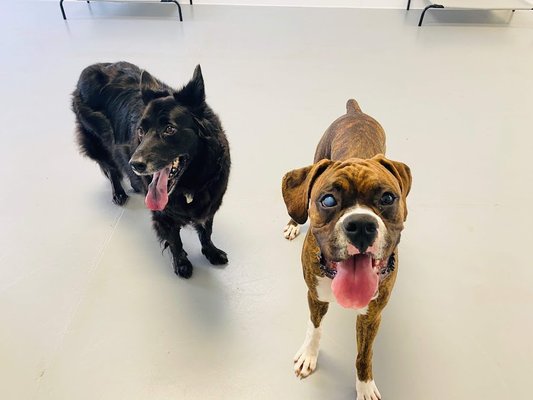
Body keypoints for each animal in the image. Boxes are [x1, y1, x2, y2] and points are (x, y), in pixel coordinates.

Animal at [71, 61, 230, 278]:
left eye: (169, 129)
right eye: (141, 131)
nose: (135, 164)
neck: (191, 183)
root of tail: (88, 68)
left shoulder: (210, 203)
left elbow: (206, 231)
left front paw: (211, 252)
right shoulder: (163, 215)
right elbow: (175, 241)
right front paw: (181, 264)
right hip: (99, 144)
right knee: (111, 168)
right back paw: (119, 193)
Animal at [282, 98, 412, 398]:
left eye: (388, 198)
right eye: (328, 200)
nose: (362, 225)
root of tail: (356, 112)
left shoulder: (371, 315)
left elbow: (364, 355)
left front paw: (364, 386)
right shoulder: (315, 296)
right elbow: (315, 329)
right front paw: (309, 355)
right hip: (317, 156)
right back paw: (294, 223)